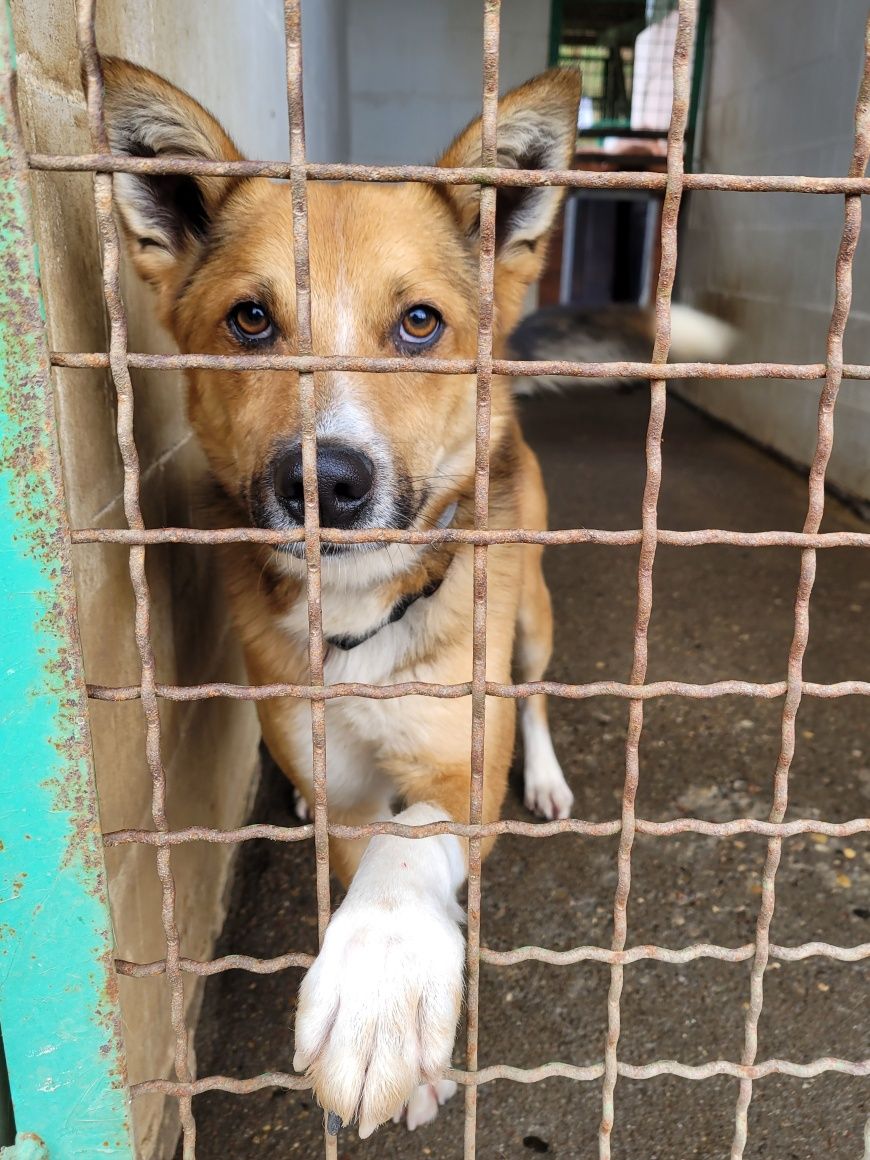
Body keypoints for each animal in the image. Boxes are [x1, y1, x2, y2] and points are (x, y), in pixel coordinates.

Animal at [100, 58, 728, 1136]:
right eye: (251, 319)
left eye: (420, 322)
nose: (323, 481)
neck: (361, 618)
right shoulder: (343, 788)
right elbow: (369, 842)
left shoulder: (458, 762)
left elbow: (414, 844)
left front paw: (381, 985)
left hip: (530, 621)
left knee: (535, 693)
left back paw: (545, 776)